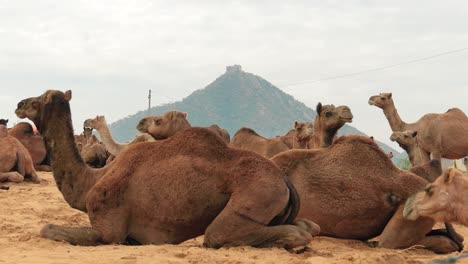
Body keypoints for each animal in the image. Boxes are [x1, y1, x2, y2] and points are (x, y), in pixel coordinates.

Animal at [14, 89, 318, 249]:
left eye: (39, 100)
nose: (18, 103)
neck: (92, 180)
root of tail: (284, 181)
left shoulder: (109, 230)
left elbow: (47, 228)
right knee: (307, 225)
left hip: (255, 194)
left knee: (219, 235)